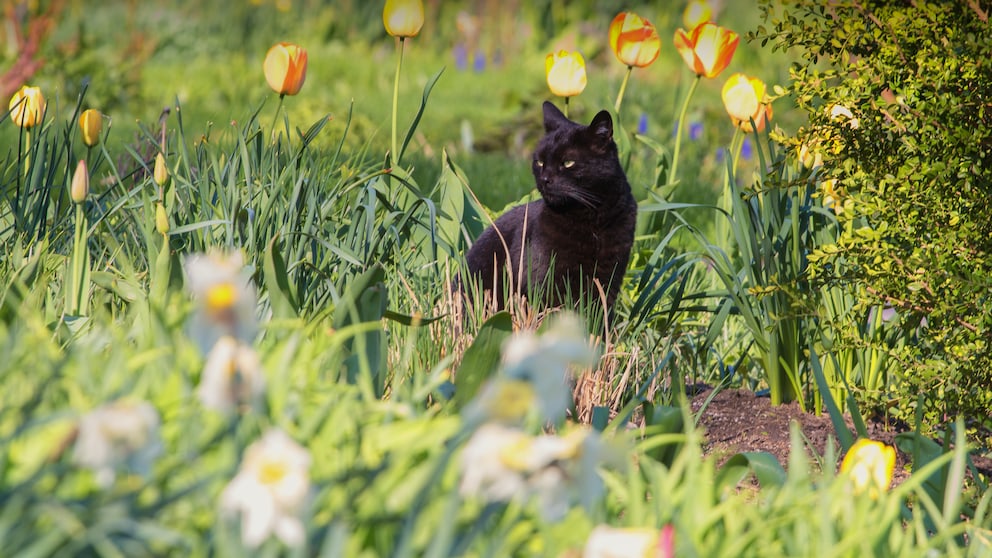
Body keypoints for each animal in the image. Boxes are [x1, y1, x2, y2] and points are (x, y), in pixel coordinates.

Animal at [464, 103, 636, 312]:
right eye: (539, 161)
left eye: (568, 162)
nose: (544, 179)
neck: (593, 218)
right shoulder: (544, 279)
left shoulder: (609, 277)